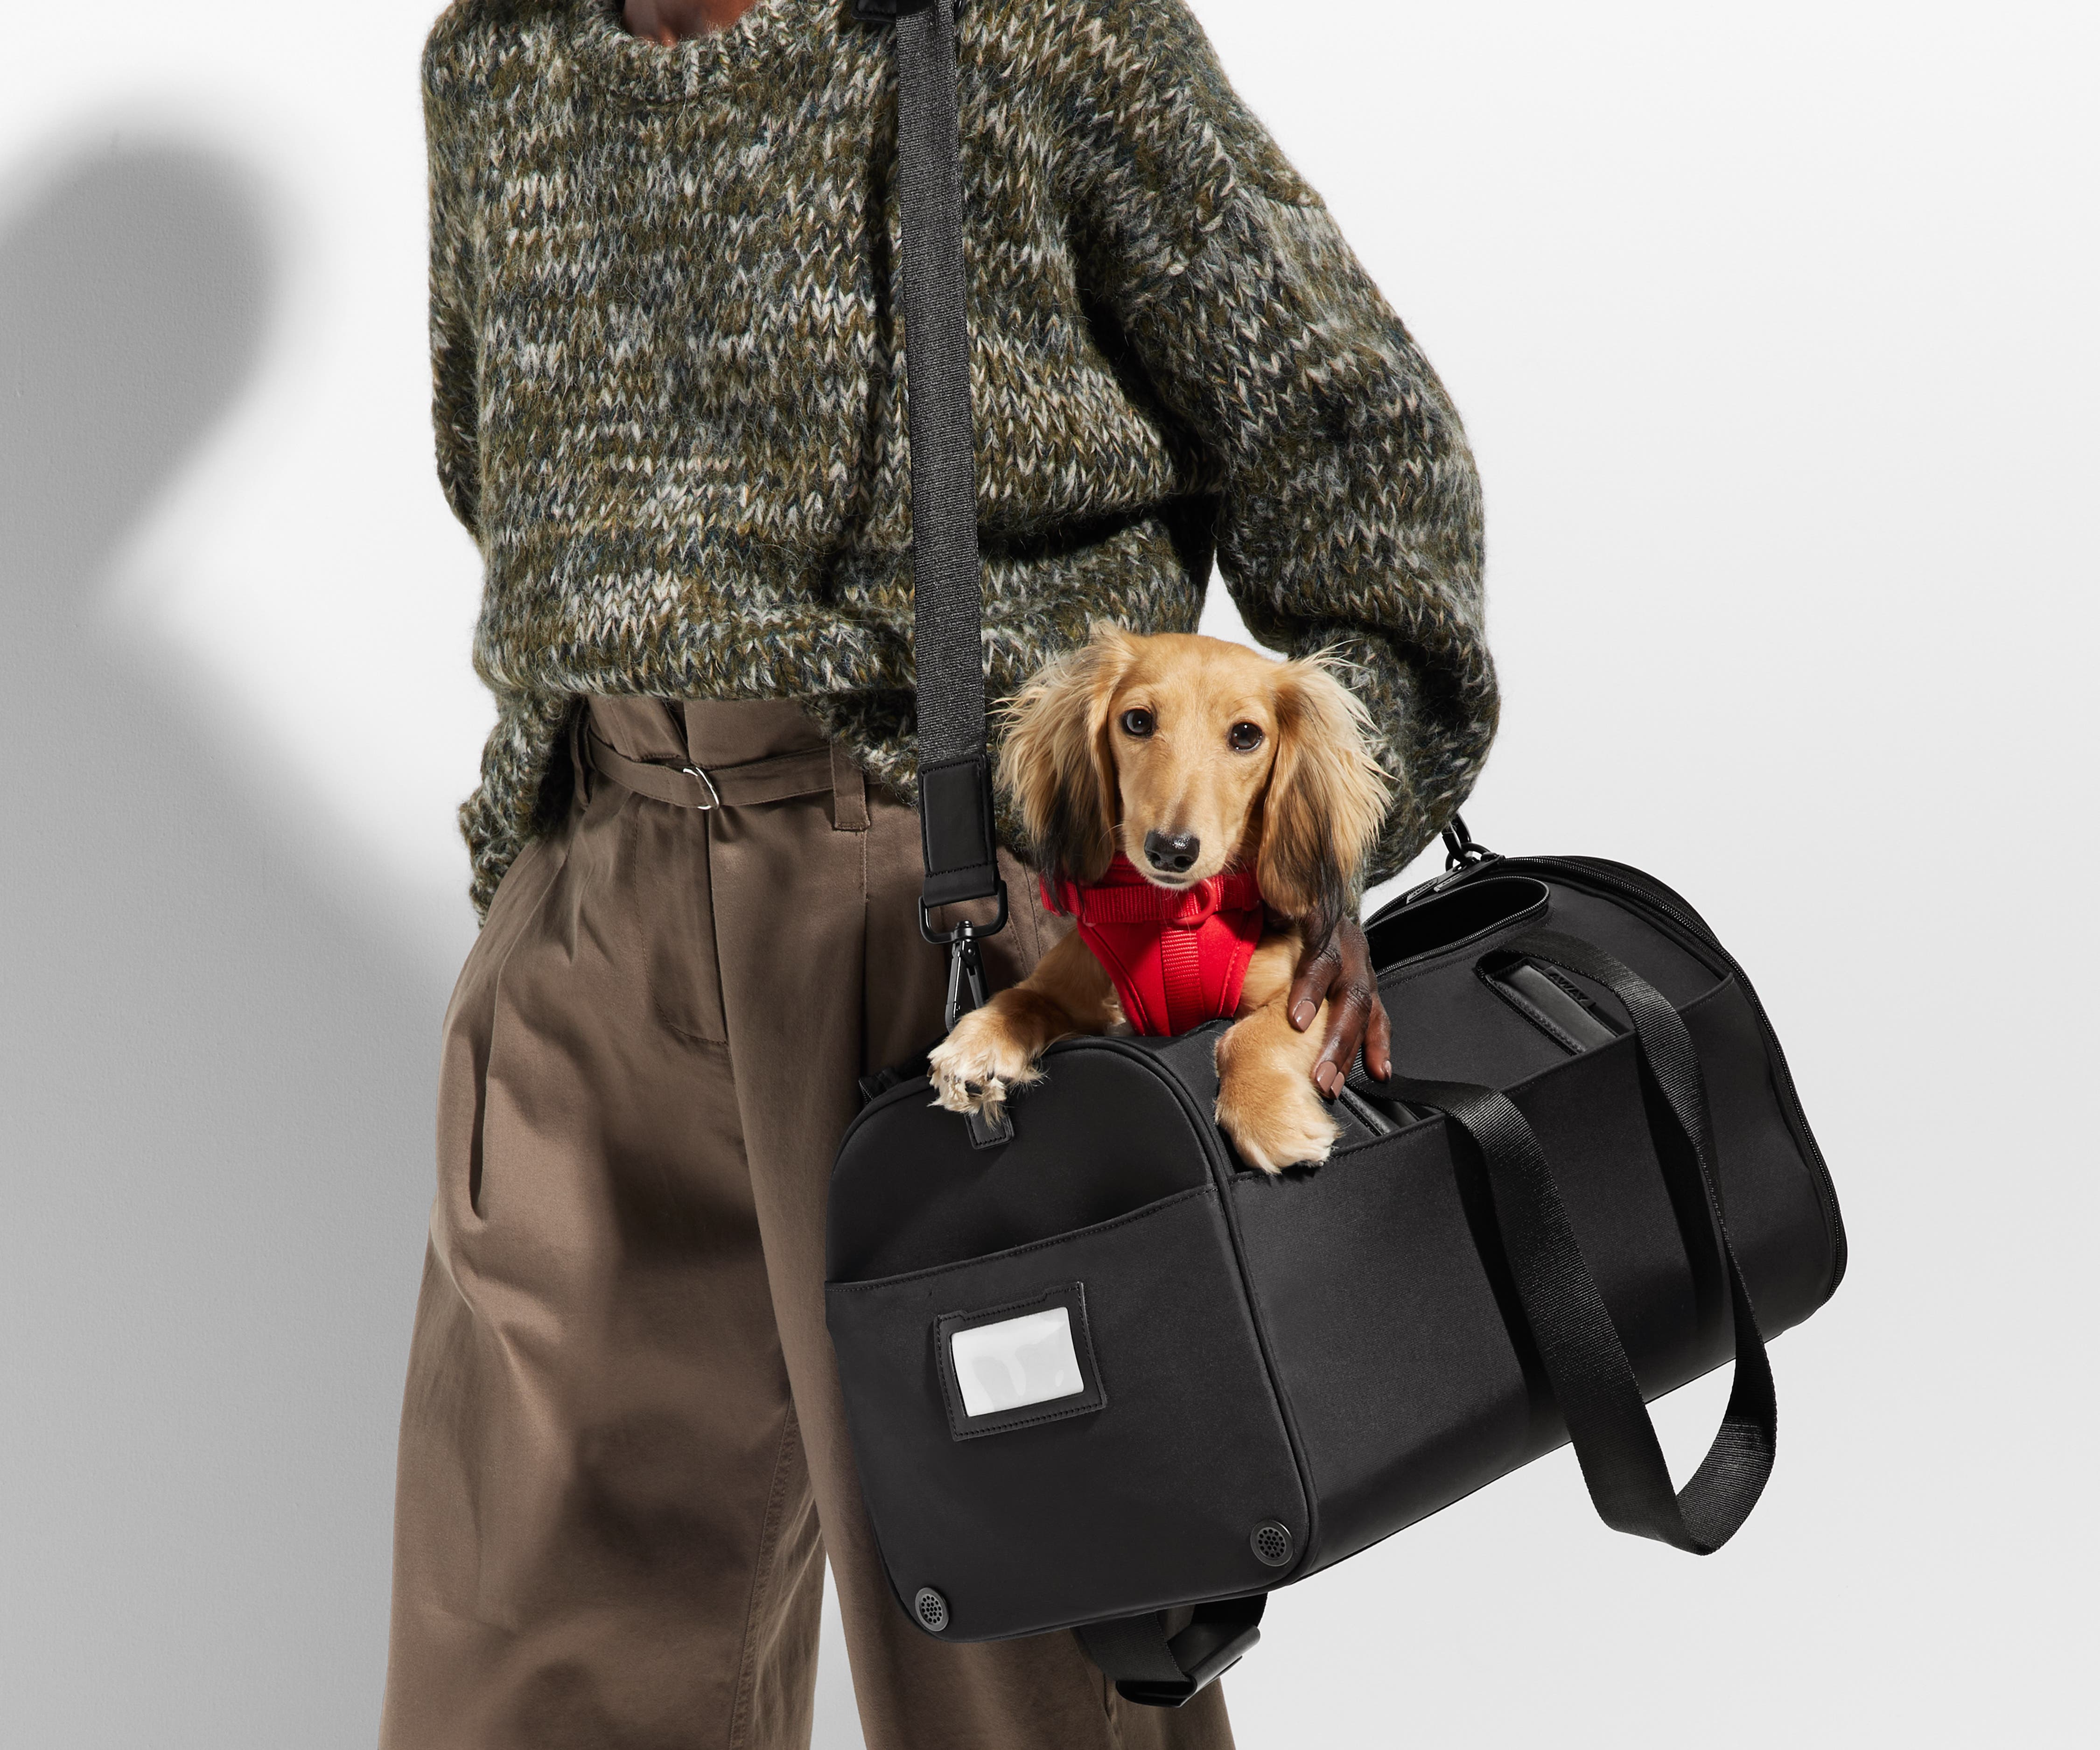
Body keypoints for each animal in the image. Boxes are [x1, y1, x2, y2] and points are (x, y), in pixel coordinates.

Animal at [928, 627, 1390, 1171]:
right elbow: (1021, 998)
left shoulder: (1312, 995)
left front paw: (1269, 1120)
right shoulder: (1070, 991)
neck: (1172, 915)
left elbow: (1248, 1036)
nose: (1171, 850)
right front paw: (975, 1043)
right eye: (1137, 721)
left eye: (1246, 735)